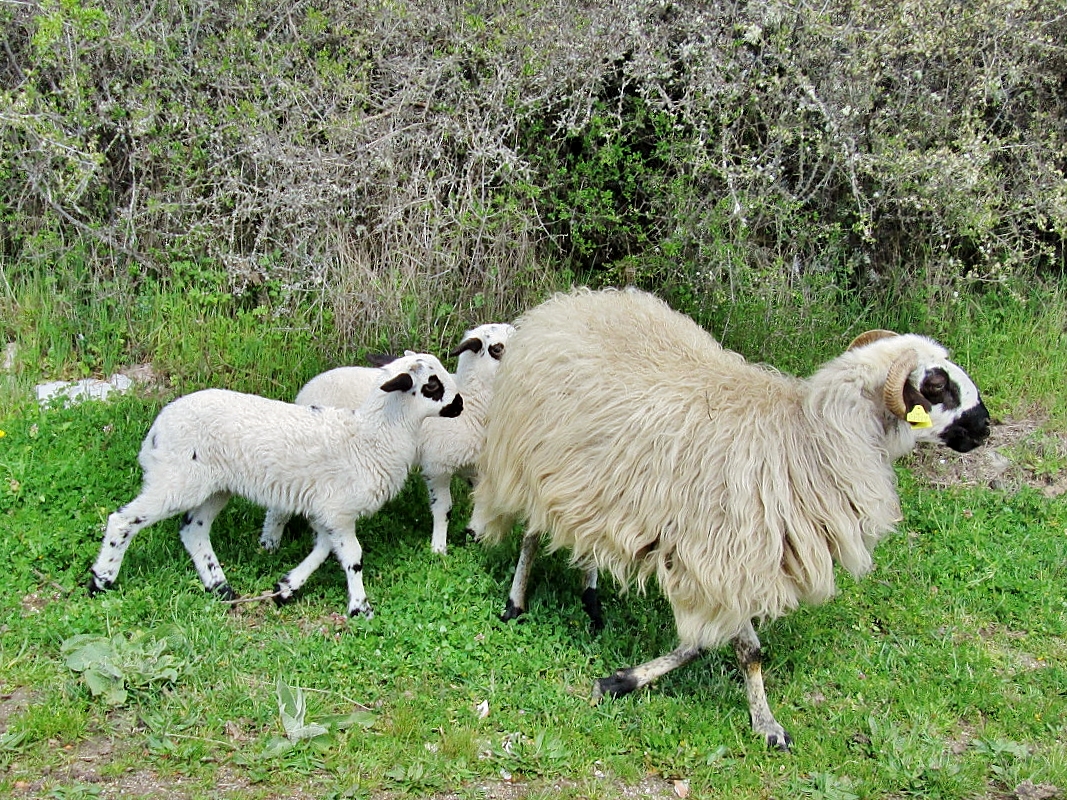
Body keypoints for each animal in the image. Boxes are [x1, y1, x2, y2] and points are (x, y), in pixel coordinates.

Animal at [87, 352, 463, 618]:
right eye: (432, 385)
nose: (459, 405)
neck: (371, 437)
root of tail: (155, 432)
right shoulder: (339, 510)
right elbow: (352, 557)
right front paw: (360, 607)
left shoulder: (327, 510)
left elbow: (324, 549)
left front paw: (286, 587)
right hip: (178, 480)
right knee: (123, 520)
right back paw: (101, 581)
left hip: (215, 487)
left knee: (193, 531)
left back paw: (221, 589)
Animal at [260, 326, 514, 558]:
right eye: (497, 348)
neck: (473, 406)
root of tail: (305, 390)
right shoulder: (437, 467)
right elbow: (444, 508)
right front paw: (439, 549)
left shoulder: (474, 466)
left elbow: (482, 501)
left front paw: (476, 535)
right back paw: (270, 543)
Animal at [469, 288, 990, 750]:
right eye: (937, 385)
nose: (985, 427)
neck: (808, 441)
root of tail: (566, 303)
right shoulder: (725, 556)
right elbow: (740, 648)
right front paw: (764, 724)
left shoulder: (725, 562)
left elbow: (712, 643)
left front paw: (627, 679)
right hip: (531, 461)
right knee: (532, 535)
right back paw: (516, 602)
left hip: (588, 483)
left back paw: (592, 596)